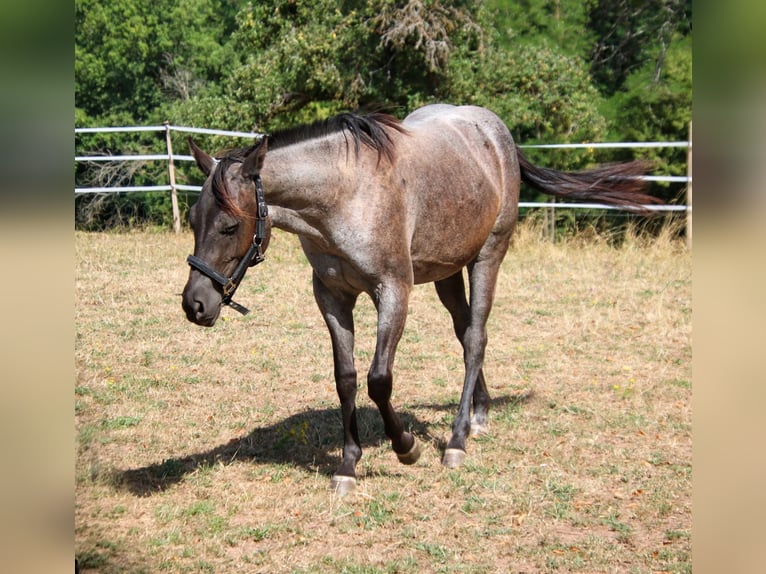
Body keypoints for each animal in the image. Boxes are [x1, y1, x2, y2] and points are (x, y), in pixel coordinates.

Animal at [181, 104, 658, 495]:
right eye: (192, 218)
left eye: (229, 225)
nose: (195, 304)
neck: (344, 194)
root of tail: (495, 130)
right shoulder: (332, 297)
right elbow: (346, 378)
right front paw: (348, 466)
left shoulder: (393, 290)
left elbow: (379, 379)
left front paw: (407, 447)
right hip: (447, 272)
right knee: (466, 334)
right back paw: (479, 414)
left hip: (488, 257)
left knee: (477, 339)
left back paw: (457, 441)